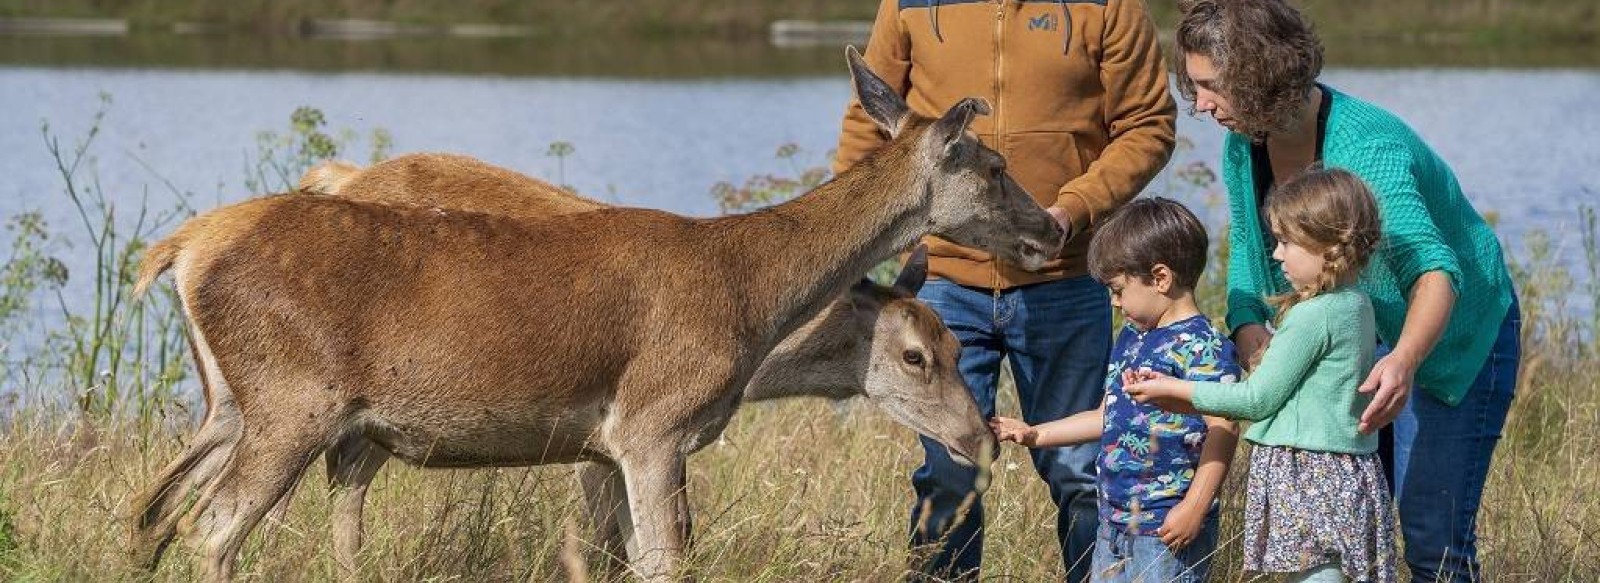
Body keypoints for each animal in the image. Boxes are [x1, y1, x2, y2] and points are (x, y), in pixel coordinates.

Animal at [128, 45, 1062, 579]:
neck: (752, 298)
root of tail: (181, 247)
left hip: (238, 403)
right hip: (296, 399)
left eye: (956, 347)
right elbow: (665, 562)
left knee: (159, 509)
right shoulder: (649, 423)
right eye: (992, 167)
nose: (1051, 226)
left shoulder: (607, 443)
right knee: (214, 528)